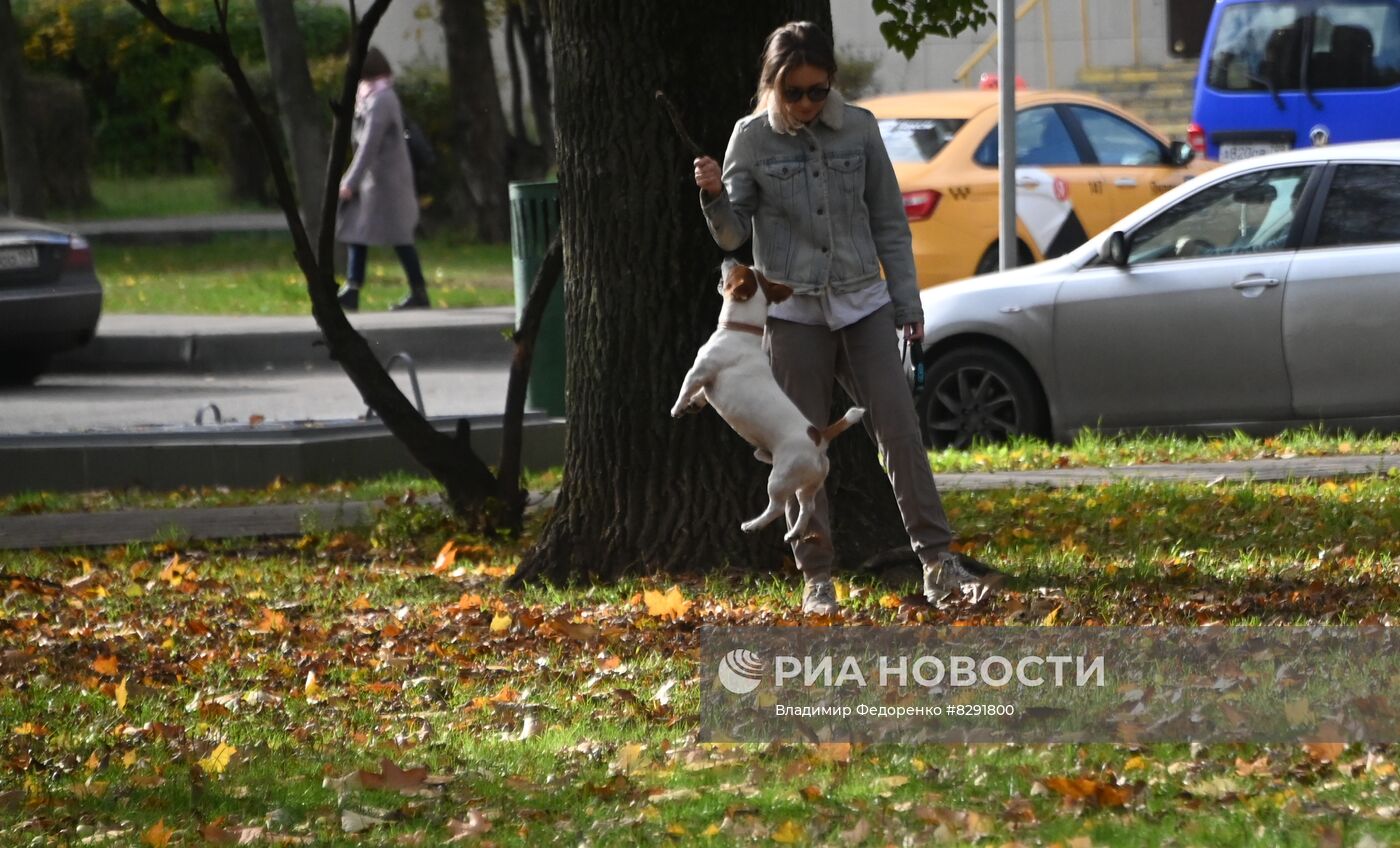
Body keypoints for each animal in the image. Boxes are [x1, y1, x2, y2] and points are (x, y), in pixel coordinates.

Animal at [669, 256, 862, 545]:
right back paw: (794, 532)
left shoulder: (700, 370)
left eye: (735, 269)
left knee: (778, 506)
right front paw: (694, 405)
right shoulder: (708, 380)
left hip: (780, 478)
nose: (729, 256)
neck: (741, 330)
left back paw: (753, 525)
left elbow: (687, 386)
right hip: (808, 484)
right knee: (807, 506)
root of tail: (820, 437)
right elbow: (702, 394)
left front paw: (678, 407)